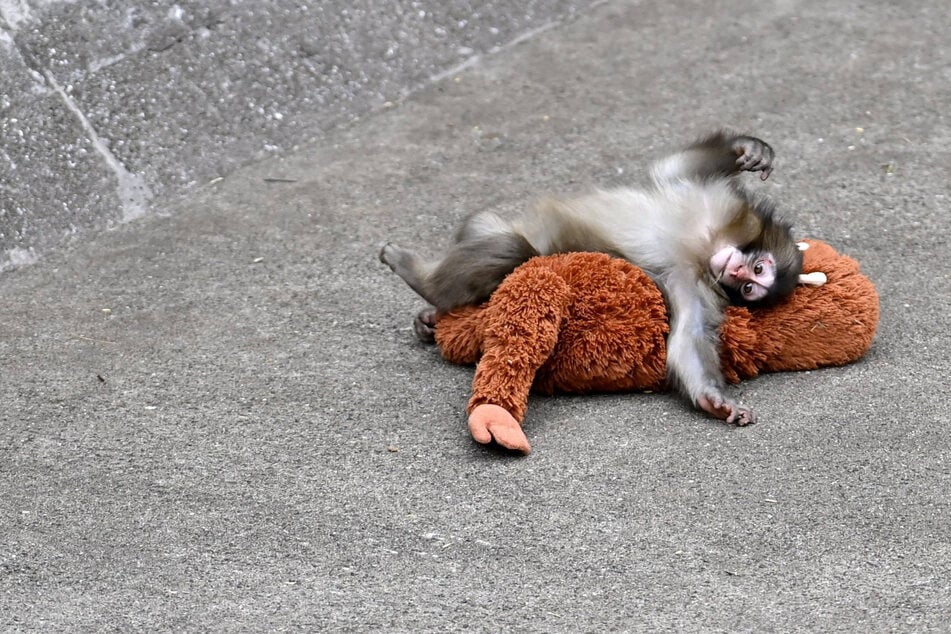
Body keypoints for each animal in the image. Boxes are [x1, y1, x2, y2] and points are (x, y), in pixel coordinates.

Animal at [380, 131, 803, 426]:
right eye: (757, 270)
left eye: (750, 287)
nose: (736, 271)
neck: (705, 246)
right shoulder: (717, 203)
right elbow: (673, 168)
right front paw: (747, 150)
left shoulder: (695, 284)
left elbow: (688, 338)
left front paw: (713, 401)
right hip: (484, 224)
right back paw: (423, 284)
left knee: (513, 251)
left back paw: (427, 296)